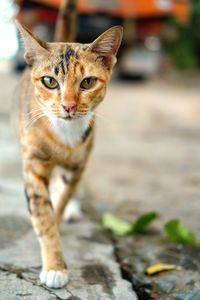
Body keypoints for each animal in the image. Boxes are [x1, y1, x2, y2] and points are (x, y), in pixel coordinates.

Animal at [15, 0, 122, 290]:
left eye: (88, 82)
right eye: (49, 81)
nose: (69, 106)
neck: (64, 134)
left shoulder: (79, 163)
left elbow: (63, 196)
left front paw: (60, 213)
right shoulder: (34, 164)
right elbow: (43, 212)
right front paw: (54, 265)